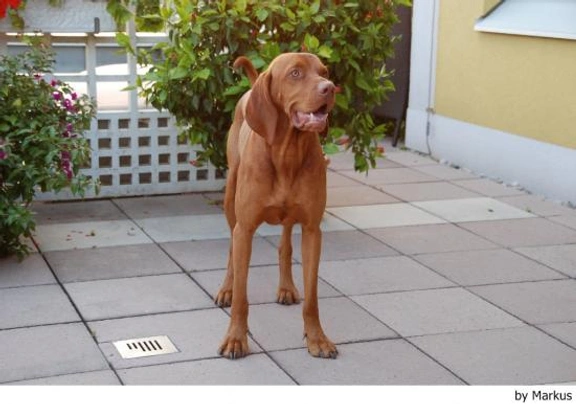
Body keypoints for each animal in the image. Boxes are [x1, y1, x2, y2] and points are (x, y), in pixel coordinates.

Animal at [215, 53, 338, 360]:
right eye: (295, 73)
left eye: (324, 72)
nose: (330, 88)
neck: (287, 154)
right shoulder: (245, 228)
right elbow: (242, 297)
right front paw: (236, 339)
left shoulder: (312, 230)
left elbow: (312, 297)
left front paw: (317, 338)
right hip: (230, 200)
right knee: (232, 248)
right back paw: (226, 289)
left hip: (290, 218)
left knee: (285, 245)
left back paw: (286, 287)